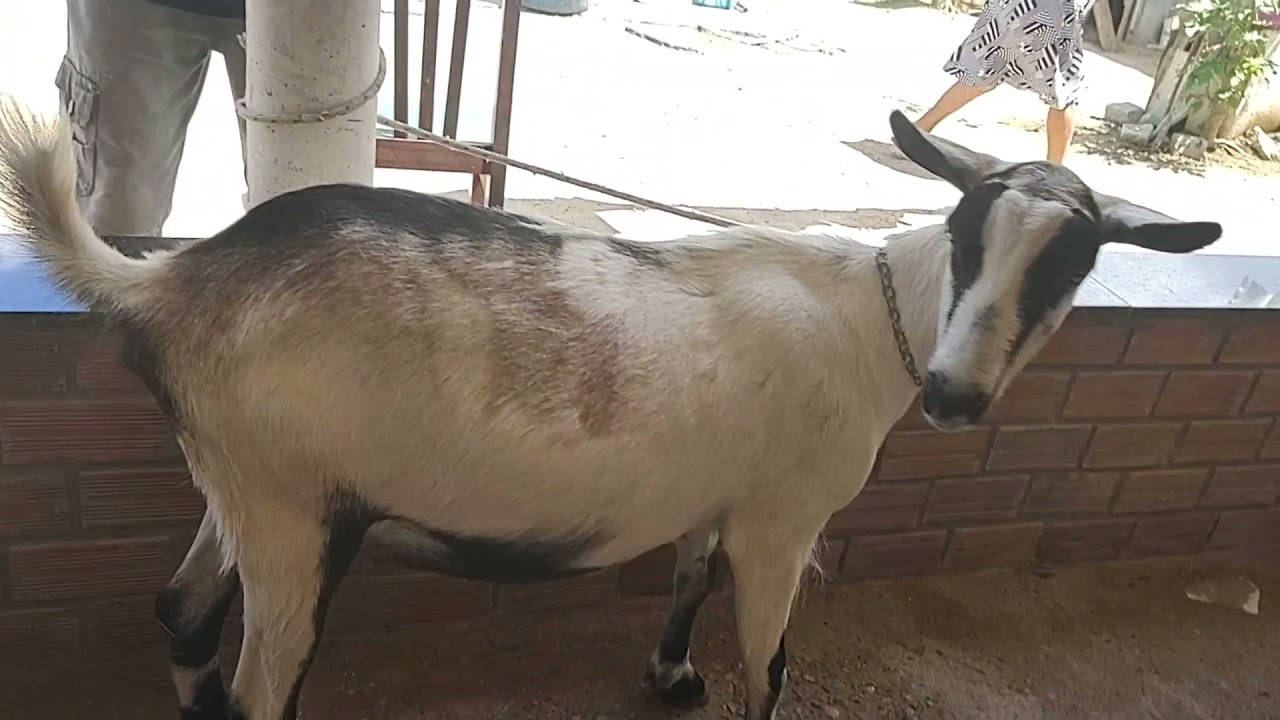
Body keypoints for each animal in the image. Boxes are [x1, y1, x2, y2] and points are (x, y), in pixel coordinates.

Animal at [0, 94, 1221, 720]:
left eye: (1073, 261)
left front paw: (670, 676)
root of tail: (168, 283)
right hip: (295, 514)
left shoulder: (715, 496)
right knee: (264, 683)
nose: (954, 393)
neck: (873, 319)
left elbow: (686, 578)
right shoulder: (783, 523)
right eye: (968, 231)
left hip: (245, 490)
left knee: (180, 611)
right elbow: (771, 661)